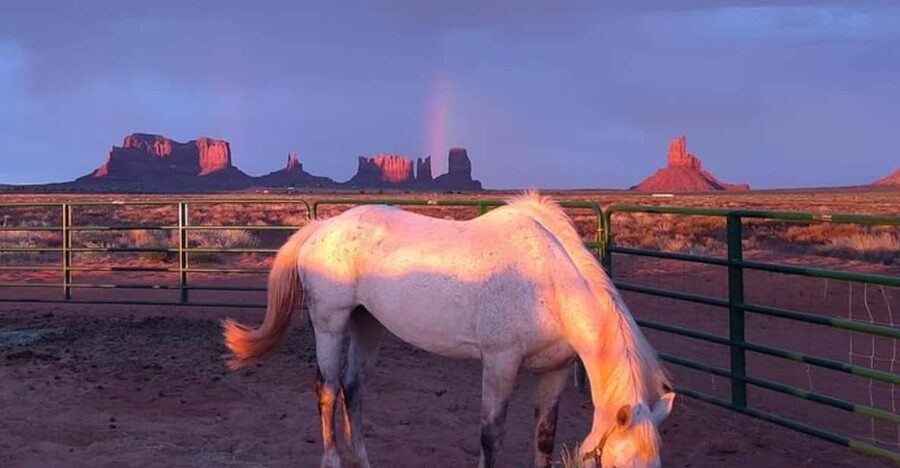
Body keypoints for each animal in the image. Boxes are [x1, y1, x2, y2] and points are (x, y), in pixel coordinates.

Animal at [222, 192, 675, 468]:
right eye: (621, 464)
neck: (550, 283)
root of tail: (321, 228)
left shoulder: (555, 371)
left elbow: (545, 436)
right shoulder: (499, 364)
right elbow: (491, 436)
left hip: (367, 324)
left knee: (352, 386)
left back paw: (362, 460)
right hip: (330, 324)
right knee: (328, 388)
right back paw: (333, 459)